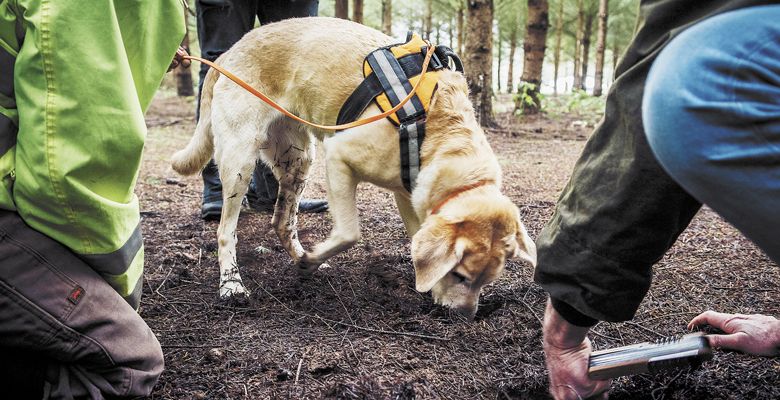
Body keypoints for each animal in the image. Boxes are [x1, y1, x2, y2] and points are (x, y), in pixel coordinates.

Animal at [172, 17, 536, 320]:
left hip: (298, 160)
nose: (466, 318)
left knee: (282, 222)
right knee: (226, 231)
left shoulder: (409, 194)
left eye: (487, 280)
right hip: (240, 161)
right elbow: (350, 233)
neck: (436, 126)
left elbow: (415, 237)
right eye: (460, 275)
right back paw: (232, 284)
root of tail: (226, 55)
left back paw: (304, 259)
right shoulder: (339, 157)